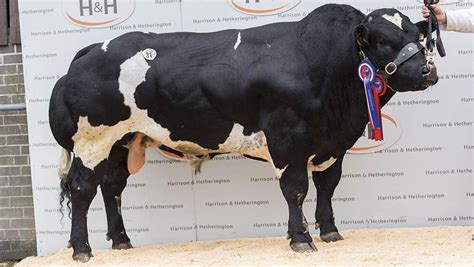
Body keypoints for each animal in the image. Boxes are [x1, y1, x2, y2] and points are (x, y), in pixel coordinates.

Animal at [48, 4, 436, 262]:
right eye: (382, 40)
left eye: (416, 36)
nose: (428, 70)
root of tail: (90, 51)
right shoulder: (288, 139)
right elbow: (296, 189)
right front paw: (301, 239)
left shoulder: (332, 145)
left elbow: (327, 186)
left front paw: (329, 231)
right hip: (93, 142)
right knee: (83, 189)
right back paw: (82, 249)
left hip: (120, 143)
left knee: (112, 187)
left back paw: (121, 241)